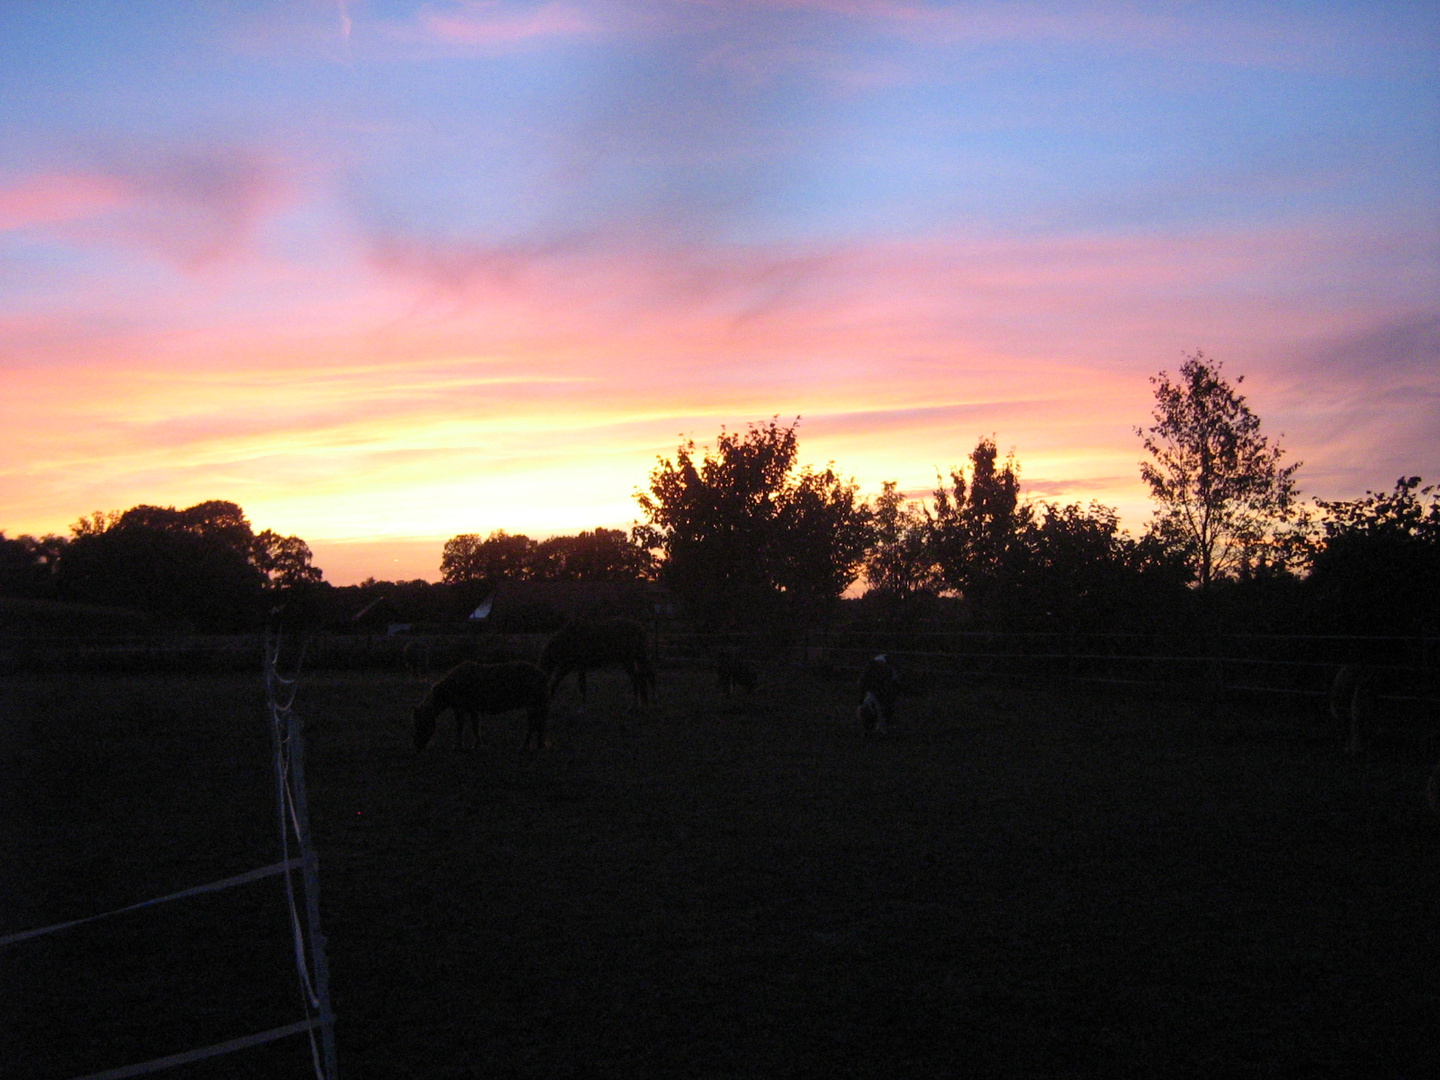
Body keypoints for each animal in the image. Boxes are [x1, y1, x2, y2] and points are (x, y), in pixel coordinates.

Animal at [420, 659, 552, 754]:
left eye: (422, 723)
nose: (418, 746)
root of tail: (543, 675)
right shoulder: (472, 709)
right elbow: (475, 726)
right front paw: (476, 745)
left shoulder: (460, 709)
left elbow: (460, 728)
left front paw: (458, 746)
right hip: (537, 705)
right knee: (539, 724)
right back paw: (538, 745)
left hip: (532, 705)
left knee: (534, 724)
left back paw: (526, 746)